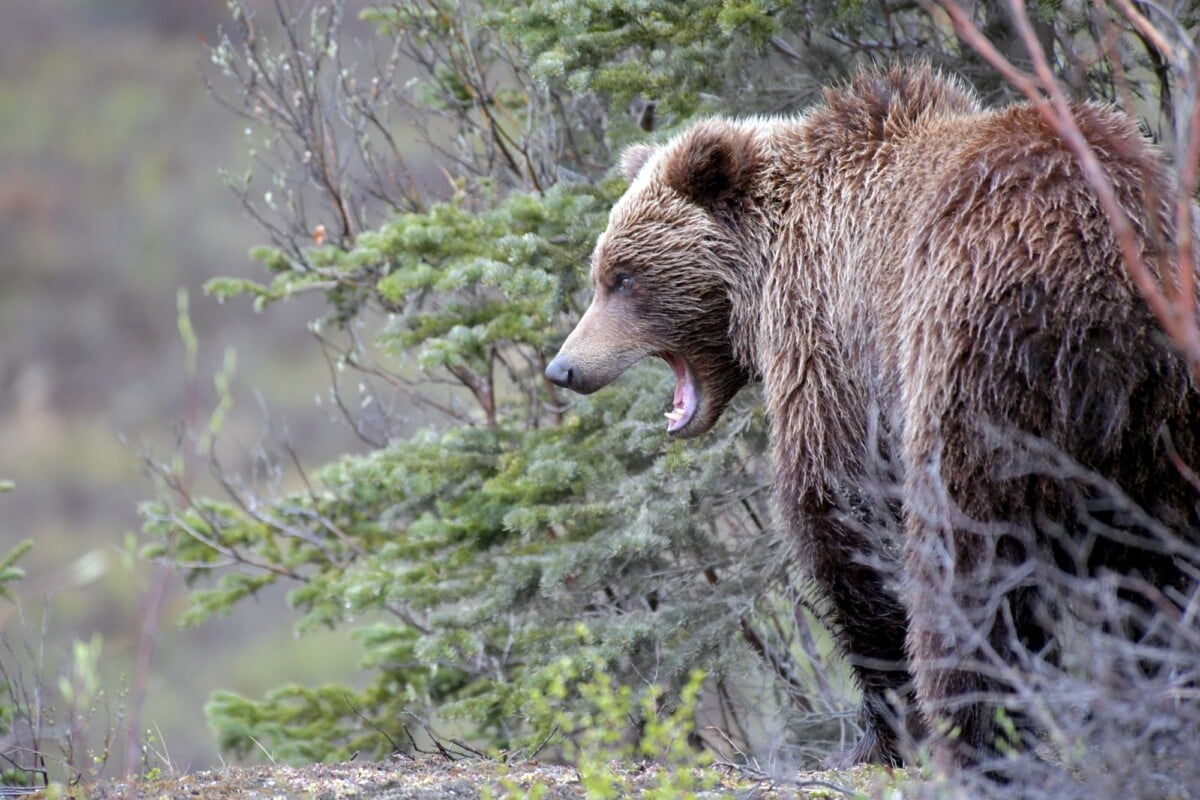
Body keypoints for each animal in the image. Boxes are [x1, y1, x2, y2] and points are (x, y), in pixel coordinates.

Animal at [545, 65, 1200, 771]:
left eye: (623, 277)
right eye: (602, 272)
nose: (563, 368)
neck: (767, 266)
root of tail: (1104, 269)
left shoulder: (831, 338)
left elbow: (837, 506)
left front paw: (880, 731)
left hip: (974, 358)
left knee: (970, 555)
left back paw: (977, 737)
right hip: (1161, 413)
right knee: (1162, 562)